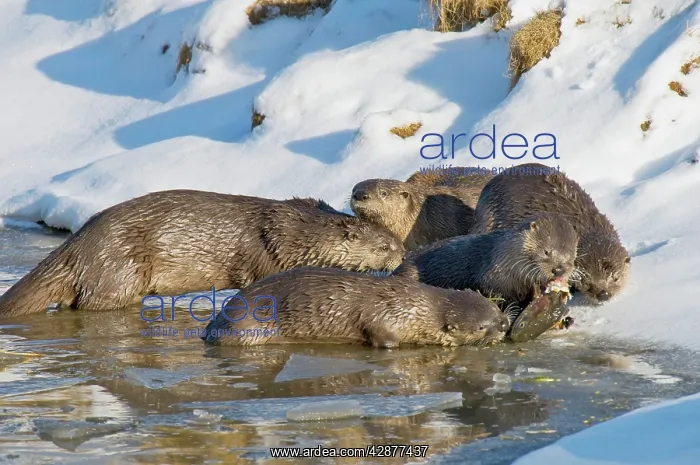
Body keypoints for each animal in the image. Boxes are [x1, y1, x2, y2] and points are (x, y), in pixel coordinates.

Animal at [0, 190, 405, 316]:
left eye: (396, 241)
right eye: (383, 246)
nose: (401, 256)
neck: (296, 234)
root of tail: (79, 243)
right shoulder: (270, 255)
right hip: (119, 271)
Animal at [201, 267, 510, 347]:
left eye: (495, 309)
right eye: (481, 327)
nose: (504, 325)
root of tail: (215, 323)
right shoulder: (384, 319)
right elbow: (383, 340)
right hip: (247, 328)